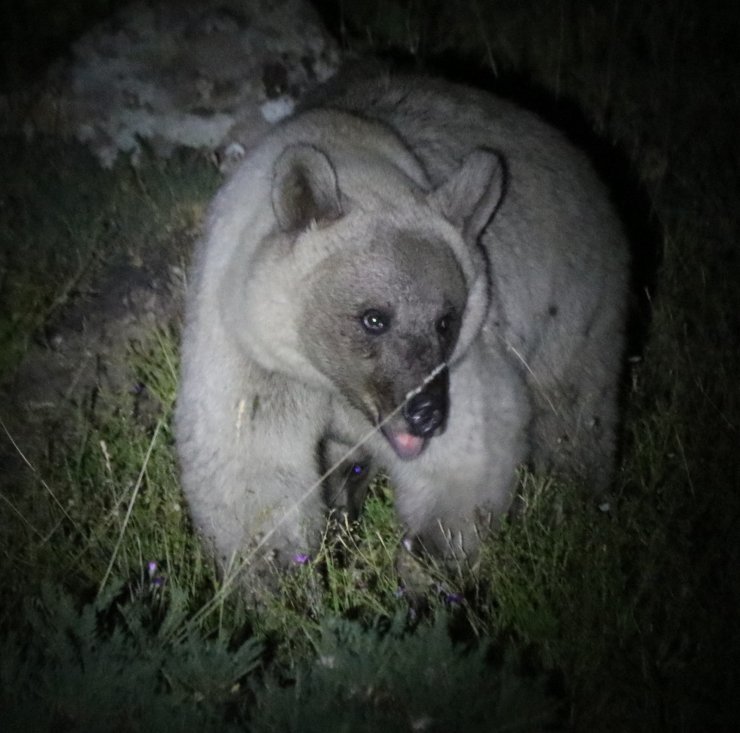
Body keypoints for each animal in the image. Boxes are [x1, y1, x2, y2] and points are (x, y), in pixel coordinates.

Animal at [175, 71, 632, 580]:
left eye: (446, 320)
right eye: (373, 317)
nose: (425, 412)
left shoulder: (469, 358)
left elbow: (465, 458)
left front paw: (426, 569)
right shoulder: (253, 355)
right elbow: (252, 473)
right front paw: (282, 574)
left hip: (577, 312)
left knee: (575, 417)